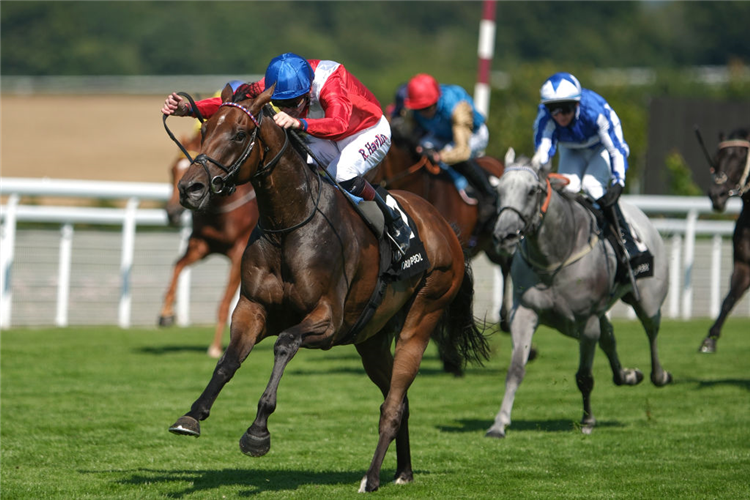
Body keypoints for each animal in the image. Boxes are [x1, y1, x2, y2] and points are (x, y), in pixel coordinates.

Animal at [158, 129, 258, 358]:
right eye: (171, 170)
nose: (172, 213)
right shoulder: (201, 245)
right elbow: (177, 266)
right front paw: (166, 313)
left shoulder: (239, 253)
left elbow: (224, 304)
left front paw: (215, 347)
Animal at [488, 149, 676, 438]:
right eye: (499, 191)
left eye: (531, 191)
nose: (504, 236)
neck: (555, 257)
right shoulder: (525, 312)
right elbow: (516, 369)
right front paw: (499, 423)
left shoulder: (586, 322)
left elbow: (584, 376)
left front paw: (587, 420)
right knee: (610, 337)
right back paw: (627, 375)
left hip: (647, 300)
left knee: (651, 331)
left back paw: (660, 375)